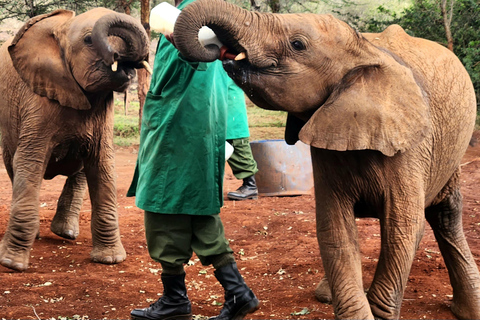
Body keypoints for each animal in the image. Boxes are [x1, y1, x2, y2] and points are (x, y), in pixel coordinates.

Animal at [0, 8, 150, 270]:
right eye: (89, 40)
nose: (118, 56)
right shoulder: (36, 101)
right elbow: (29, 163)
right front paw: (12, 264)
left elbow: (102, 166)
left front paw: (110, 260)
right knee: (13, 165)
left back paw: (66, 233)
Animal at [173, 0, 480, 318]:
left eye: (297, 44)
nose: (215, 49)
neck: (364, 50)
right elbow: (335, 228)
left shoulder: (410, 148)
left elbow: (402, 229)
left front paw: (379, 313)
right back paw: (325, 294)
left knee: (445, 214)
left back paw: (468, 308)